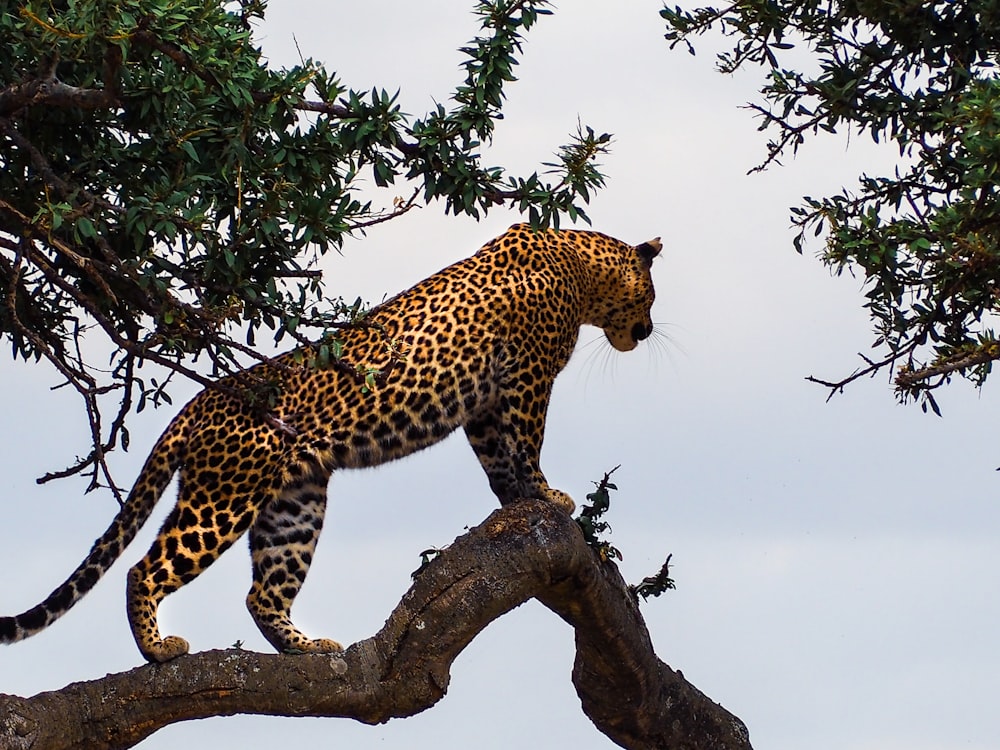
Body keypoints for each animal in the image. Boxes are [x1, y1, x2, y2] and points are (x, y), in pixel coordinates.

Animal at [1, 223, 664, 664]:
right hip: (223, 498)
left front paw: (516, 503)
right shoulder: (527, 378)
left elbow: (498, 460)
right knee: (146, 568)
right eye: (653, 296)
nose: (649, 329)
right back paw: (159, 650)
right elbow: (527, 442)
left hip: (294, 503)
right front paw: (549, 496)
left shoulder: (482, 406)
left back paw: (305, 647)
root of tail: (200, 402)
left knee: (261, 592)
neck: (582, 268)